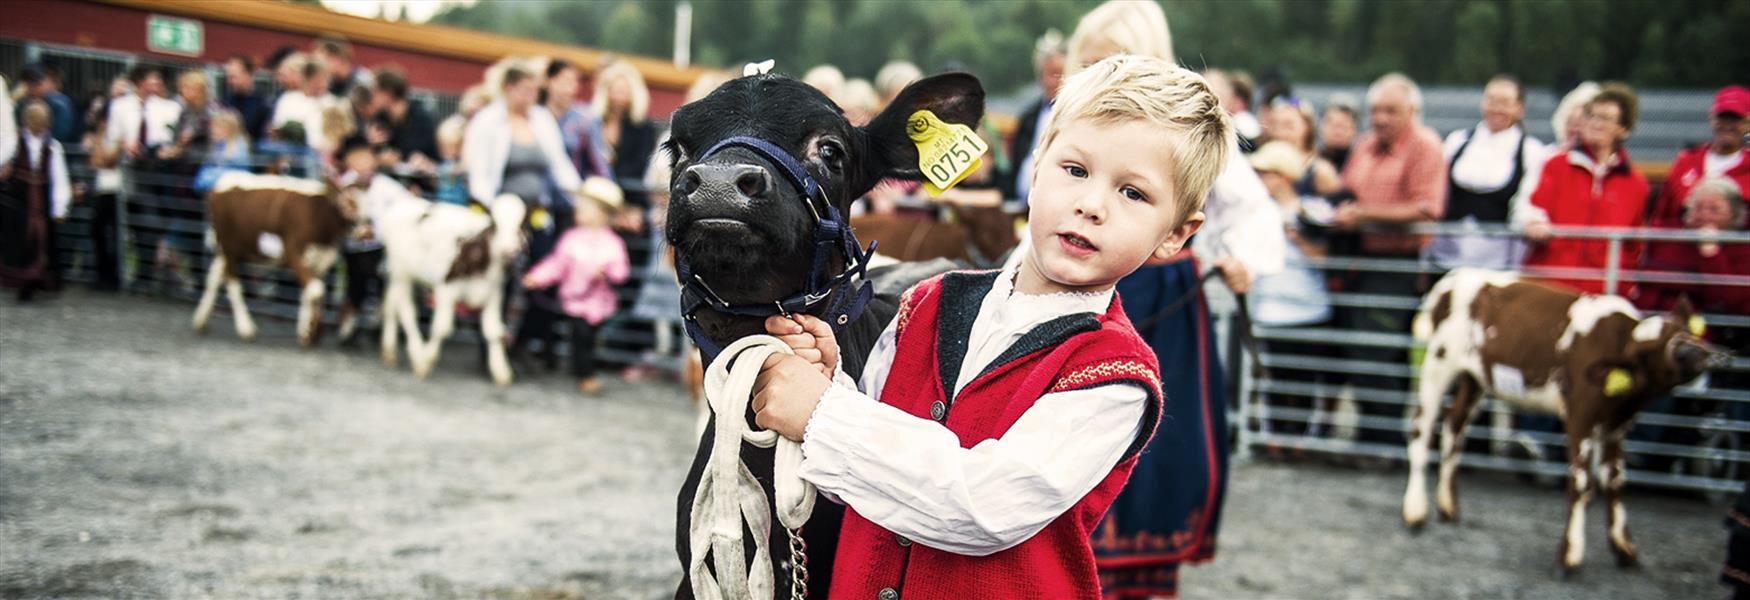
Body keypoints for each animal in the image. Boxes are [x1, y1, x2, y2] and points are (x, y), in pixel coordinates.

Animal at [192, 171, 362, 346]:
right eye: (345, 203)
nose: (361, 228)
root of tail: (224, 180)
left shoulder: (321, 260)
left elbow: (309, 293)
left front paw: (307, 332)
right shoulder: (293, 251)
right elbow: (316, 290)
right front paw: (312, 329)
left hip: (228, 249)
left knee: (214, 277)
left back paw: (200, 320)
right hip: (229, 246)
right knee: (232, 283)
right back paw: (246, 328)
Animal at [371, 180, 521, 384]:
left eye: (521, 224)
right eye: (494, 223)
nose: (510, 249)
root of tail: (402, 205)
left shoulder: (494, 293)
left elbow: (493, 331)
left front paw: (501, 371)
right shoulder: (446, 289)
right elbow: (442, 328)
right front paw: (426, 361)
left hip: (399, 273)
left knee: (391, 306)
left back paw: (389, 351)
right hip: (402, 273)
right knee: (406, 311)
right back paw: (417, 354)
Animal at [1407, 267, 1722, 573]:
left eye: (1682, 330)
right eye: (1645, 353)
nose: (1692, 352)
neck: (1618, 340)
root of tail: (1450, 279)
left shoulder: (1615, 425)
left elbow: (1616, 481)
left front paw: (1624, 549)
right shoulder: (1581, 414)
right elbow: (1582, 484)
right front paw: (1570, 555)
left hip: (1474, 377)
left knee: (1454, 425)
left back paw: (1448, 507)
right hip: (1439, 360)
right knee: (1422, 427)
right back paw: (1415, 511)